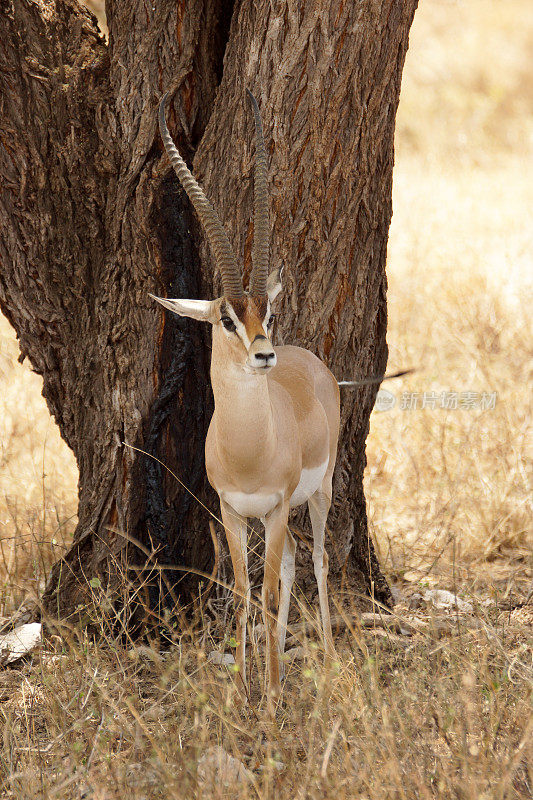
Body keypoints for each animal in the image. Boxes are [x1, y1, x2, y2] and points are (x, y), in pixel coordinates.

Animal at [150, 90, 338, 716]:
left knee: (317, 559)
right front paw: (241, 691)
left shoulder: (276, 508)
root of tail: (311, 361)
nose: (264, 354)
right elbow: (241, 590)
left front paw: (273, 698)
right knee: (290, 562)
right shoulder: (233, 512)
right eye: (227, 318)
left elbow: (270, 589)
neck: (248, 449)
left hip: (321, 493)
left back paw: (330, 660)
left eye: (267, 312)